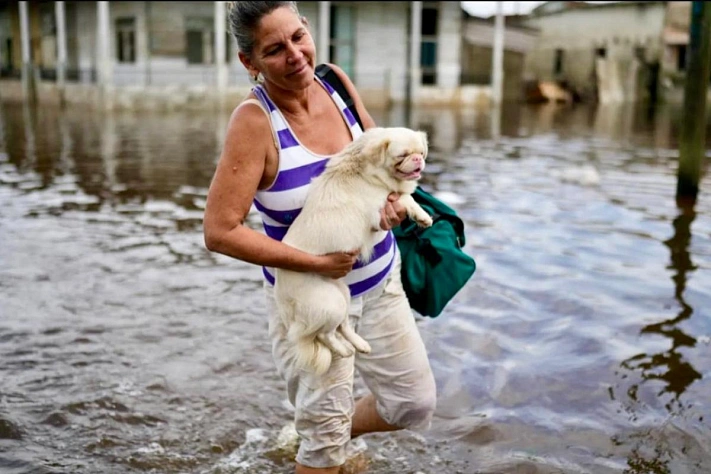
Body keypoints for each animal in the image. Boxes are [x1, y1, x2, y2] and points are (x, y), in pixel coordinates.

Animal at [272, 128, 432, 376]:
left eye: (421, 153)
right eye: (402, 156)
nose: (417, 160)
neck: (365, 167)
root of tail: (282, 296)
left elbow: (404, 196)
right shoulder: (380, 207)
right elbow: (406, 198)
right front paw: (423, 217)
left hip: (342, 292)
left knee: (343, 326)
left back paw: (360, 344)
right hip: (330, 303)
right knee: (325, 334)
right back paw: (344, 350)